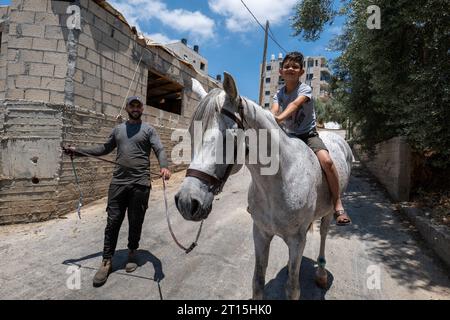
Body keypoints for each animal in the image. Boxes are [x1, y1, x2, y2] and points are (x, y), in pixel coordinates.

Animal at [174, 73, 354, 300]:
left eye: (228, 136)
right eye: (191, 132)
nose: (187, 202)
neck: (280, 180)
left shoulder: (296, 240)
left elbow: (292, 288)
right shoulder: (260, 233)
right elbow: (257, 282)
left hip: (329, 211)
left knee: (323, 234)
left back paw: (321, 273)